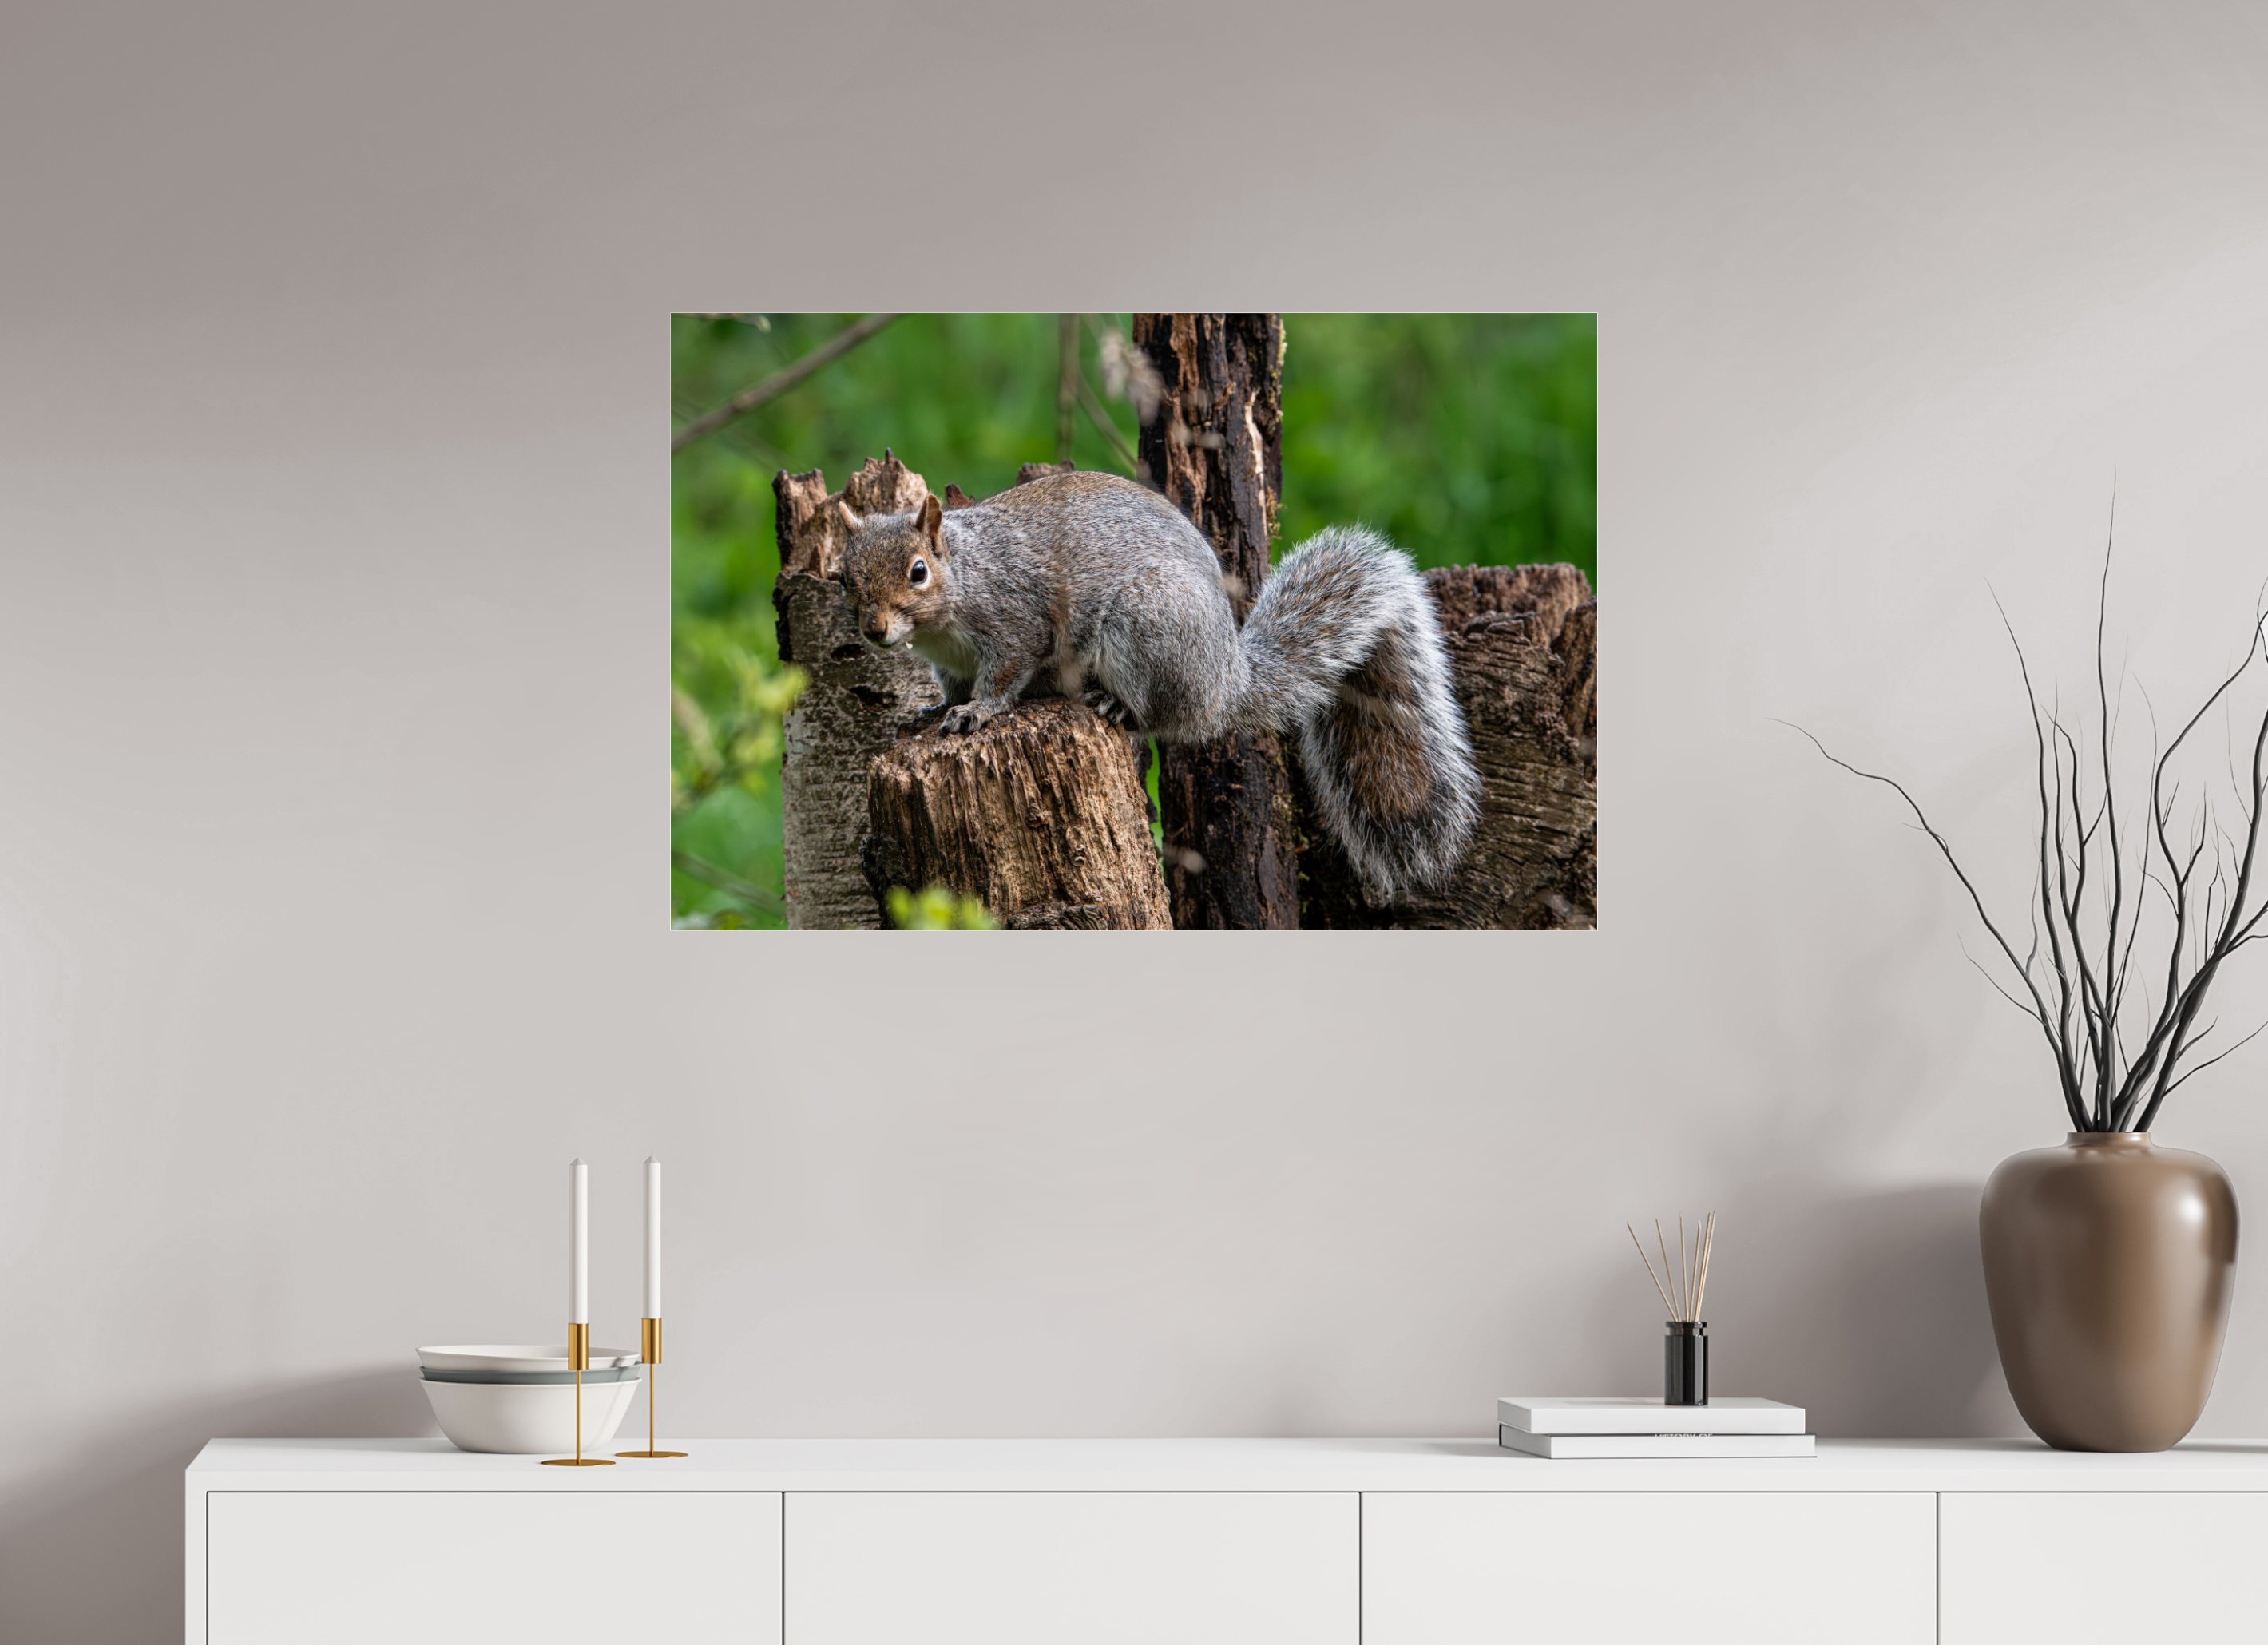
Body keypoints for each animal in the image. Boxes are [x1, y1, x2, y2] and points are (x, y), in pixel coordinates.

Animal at [836, 469, 1481, 898]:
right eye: (843, 577)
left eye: (918, 571)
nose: (874, 630)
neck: (964, 580)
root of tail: (1226, 682)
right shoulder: (949, 664)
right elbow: (949, 689)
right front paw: (929, 713)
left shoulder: (1016, 623)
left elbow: (1005, 676)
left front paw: (979, 712)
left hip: (1148, 629)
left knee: (1164, 717)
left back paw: (1116, 706)